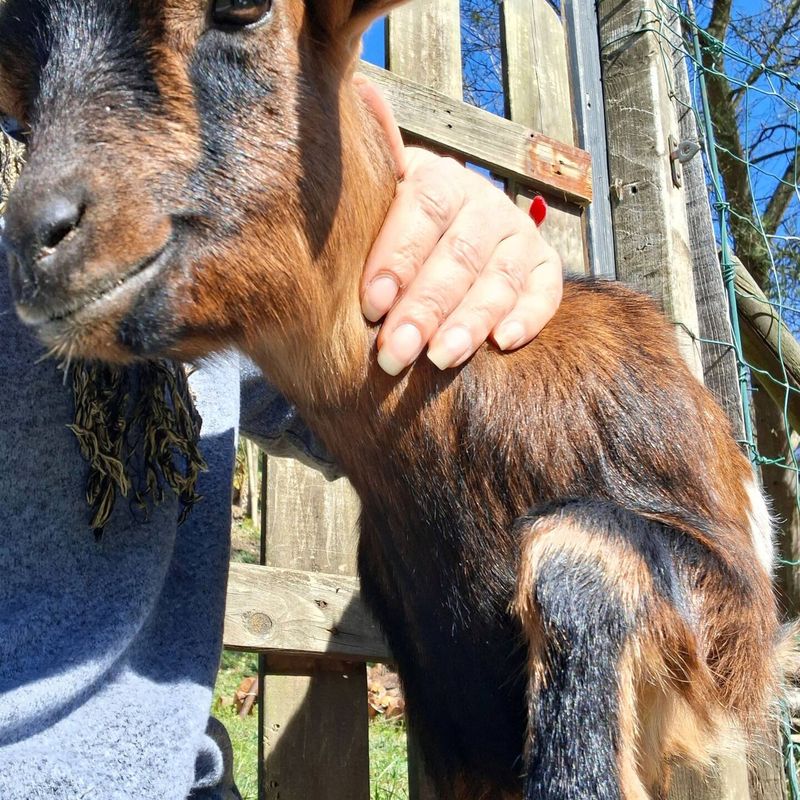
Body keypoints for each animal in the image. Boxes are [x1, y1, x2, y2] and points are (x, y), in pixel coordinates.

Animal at [0, 0, 785, 797]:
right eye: (20, 72)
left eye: (245, 9)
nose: (34, 241)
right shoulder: (448, 715)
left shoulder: (735, 617)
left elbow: (582, 556)